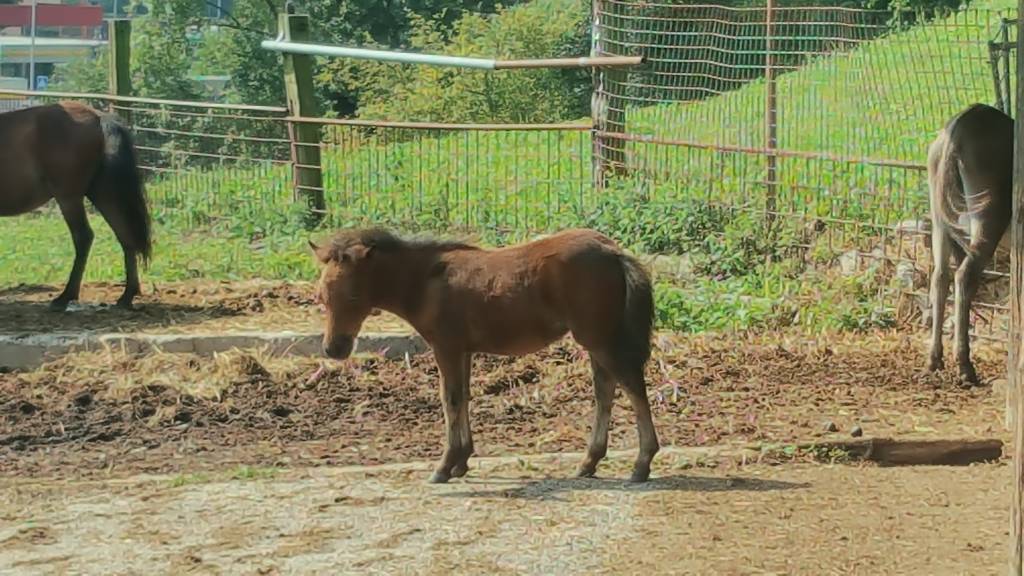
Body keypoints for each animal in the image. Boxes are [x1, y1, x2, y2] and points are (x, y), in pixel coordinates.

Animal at [0, 101, 152, 310]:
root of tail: (99, 117)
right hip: (103, 194)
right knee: (125, 234)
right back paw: (126, 296)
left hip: (69, 197)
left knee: (84, 237)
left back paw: (66, 296)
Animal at [309, 227, 660, 483]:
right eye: (322, 296)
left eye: (354, 296)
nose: (334, 348)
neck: (425, 281)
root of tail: (614, 251)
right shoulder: (464, 350)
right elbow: (463, 397)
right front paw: (462, 461)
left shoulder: (446, 347)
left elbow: (449, 399)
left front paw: (444, 466)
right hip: (596, 340)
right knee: (606, 391)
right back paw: (589, 462)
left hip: (597, 338)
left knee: (631, 386)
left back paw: (641, 464)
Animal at [926, 102, 1012, 386]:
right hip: (988, 216)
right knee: (964, 275)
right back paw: (965, 366)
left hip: (940, 217)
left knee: (940, 276)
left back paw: (934, 359)